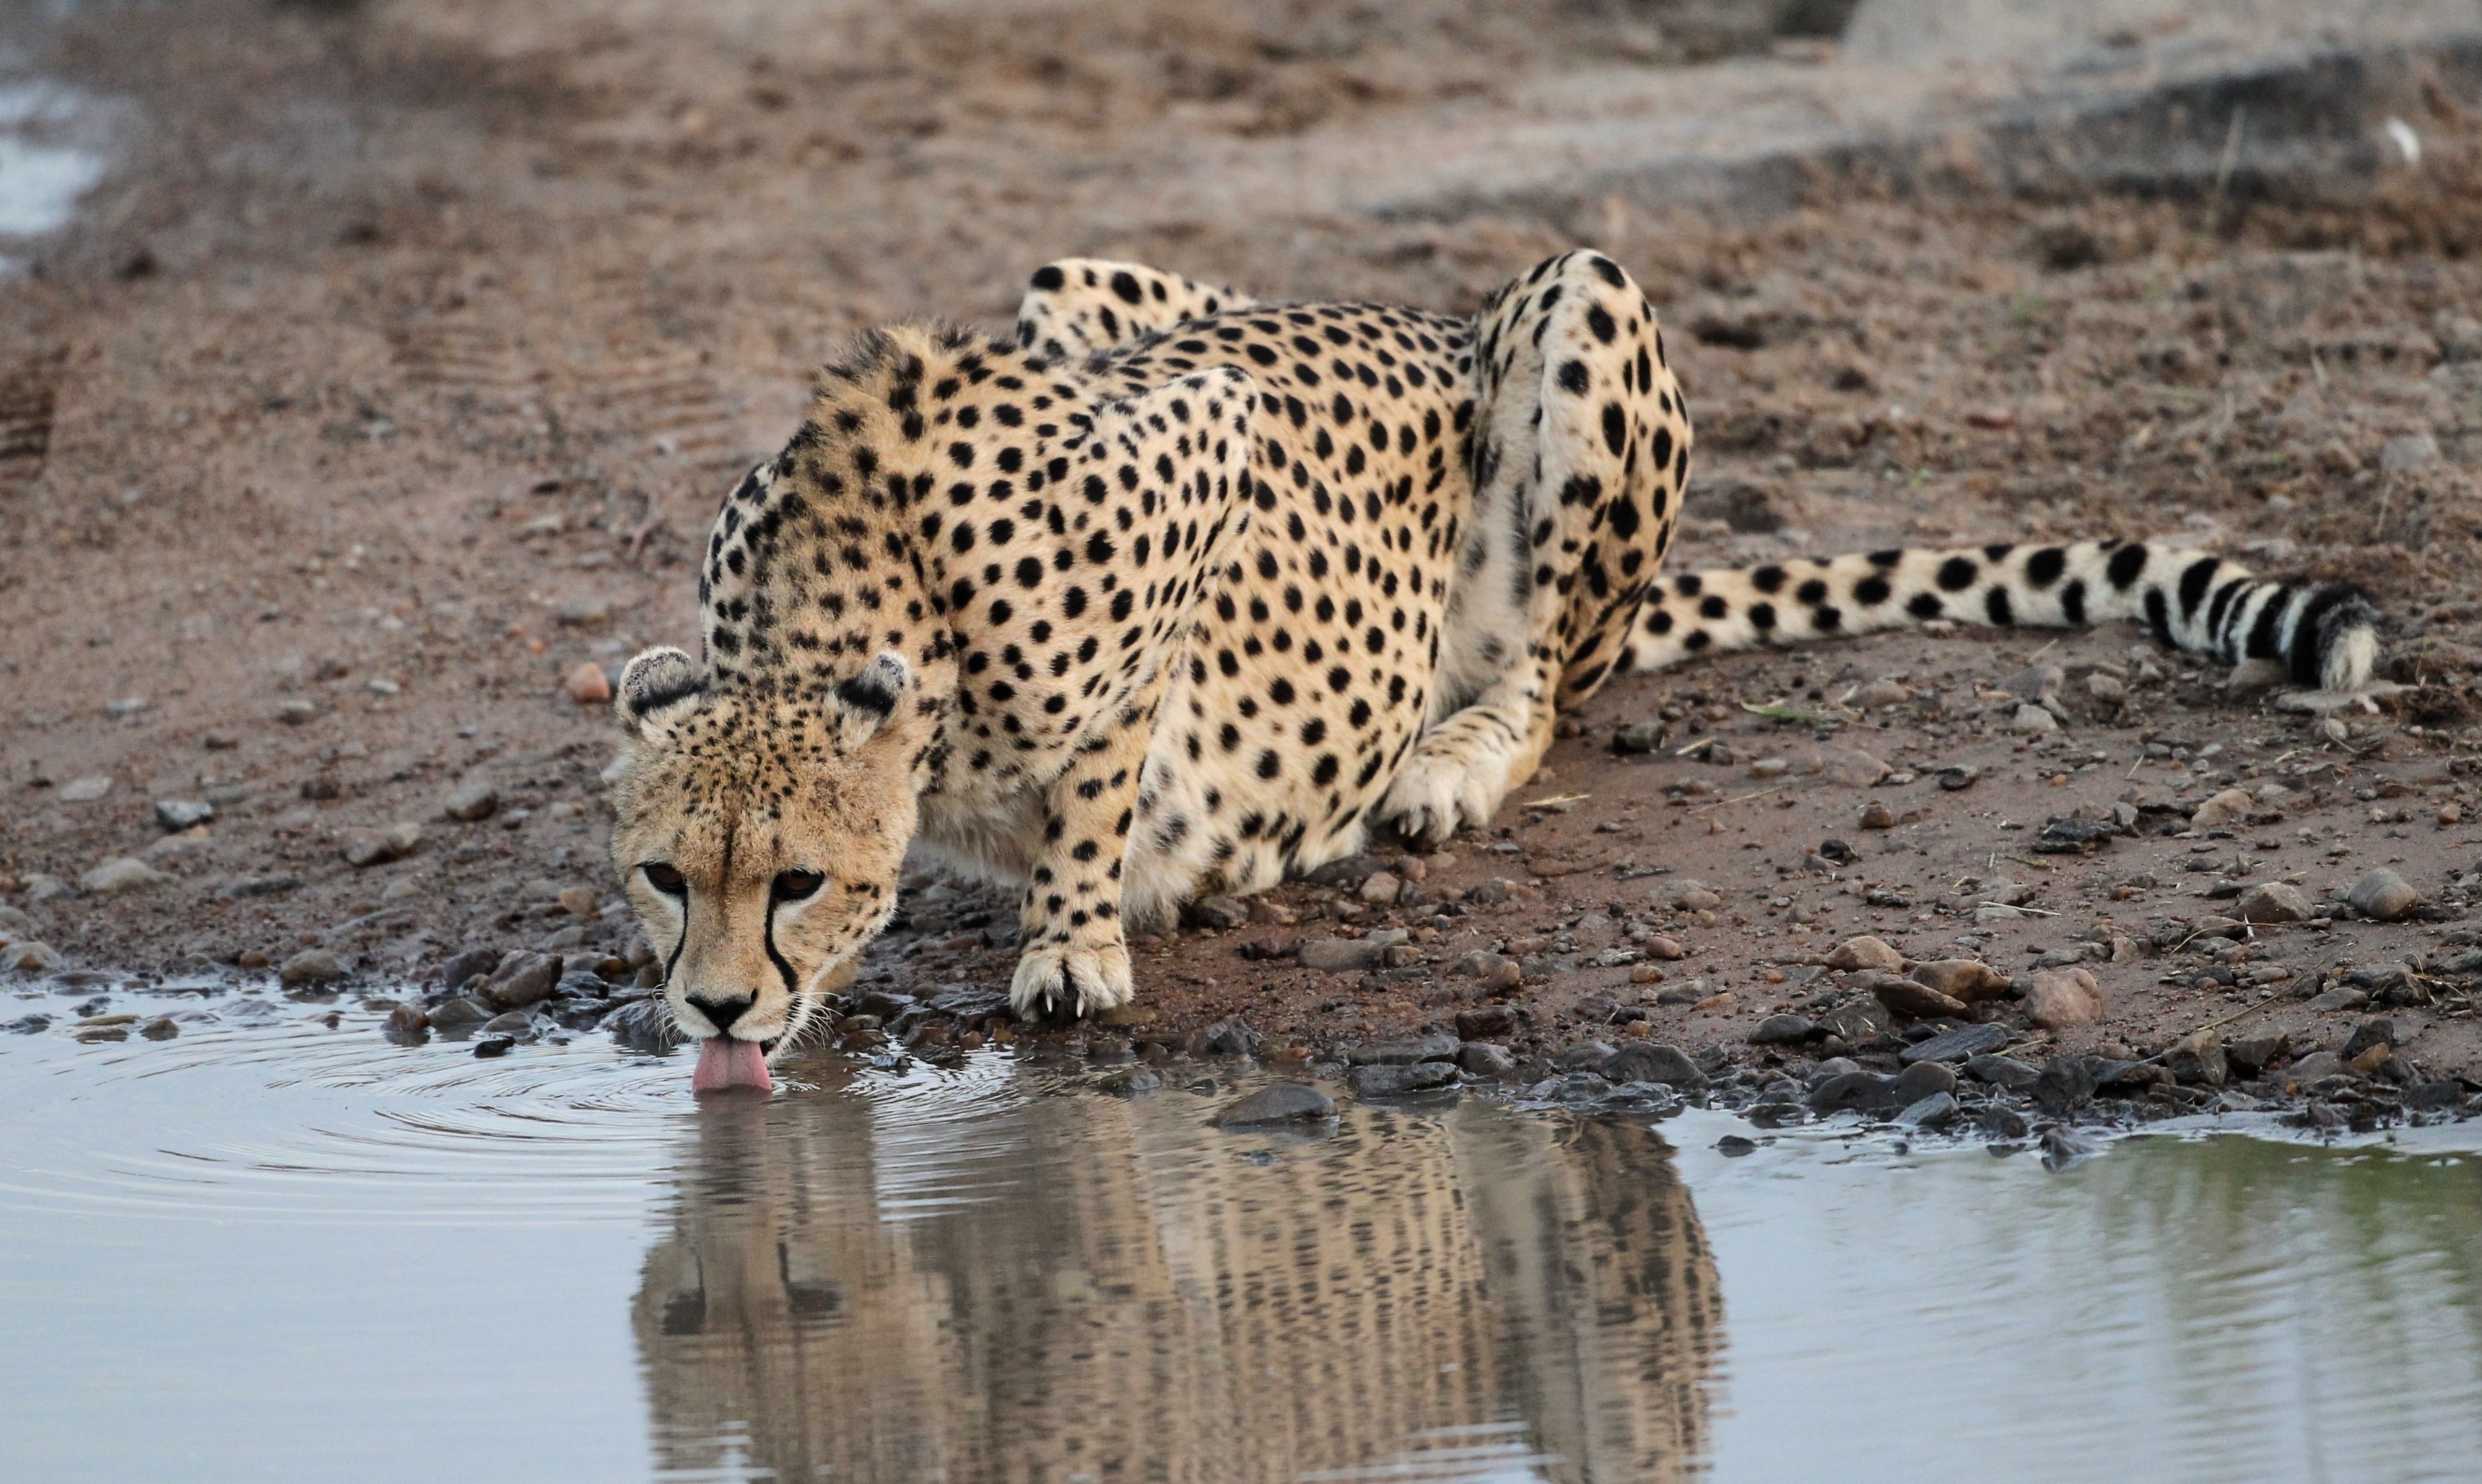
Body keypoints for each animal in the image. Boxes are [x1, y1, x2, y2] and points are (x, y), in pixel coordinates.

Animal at [604, 249, 2382, 1092]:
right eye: (662, 877)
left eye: (796, 881)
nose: (713, 1005)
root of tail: (1434, 314)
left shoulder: (1202, 446)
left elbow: (1109, 763)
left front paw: (1077, 934)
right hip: (1069, 287)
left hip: (1577, 314)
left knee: (1542, 684)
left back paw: (1441, 765)